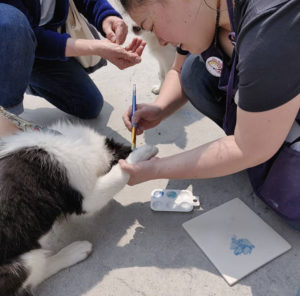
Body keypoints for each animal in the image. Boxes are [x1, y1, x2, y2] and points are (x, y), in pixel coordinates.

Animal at [0, 121, 158, 296]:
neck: (81, 142)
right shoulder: (87, 198)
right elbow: (118, 175)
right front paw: (142, 153)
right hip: (21, 263)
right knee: (35, 274)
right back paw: (74, 252)